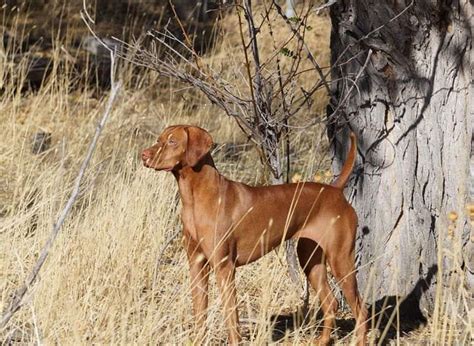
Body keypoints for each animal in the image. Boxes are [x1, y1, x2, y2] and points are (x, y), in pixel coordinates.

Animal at [143, 125, 368, 344]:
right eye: (159, 139)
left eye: (173, 141)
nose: (143, 155)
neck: (194, 198)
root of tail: (335, 190)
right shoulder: (197, 265)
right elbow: (199, 314)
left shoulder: (224, 267)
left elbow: (231, 317)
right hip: (310, 260)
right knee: (331, 303)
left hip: (340, 260)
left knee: (361, 310)